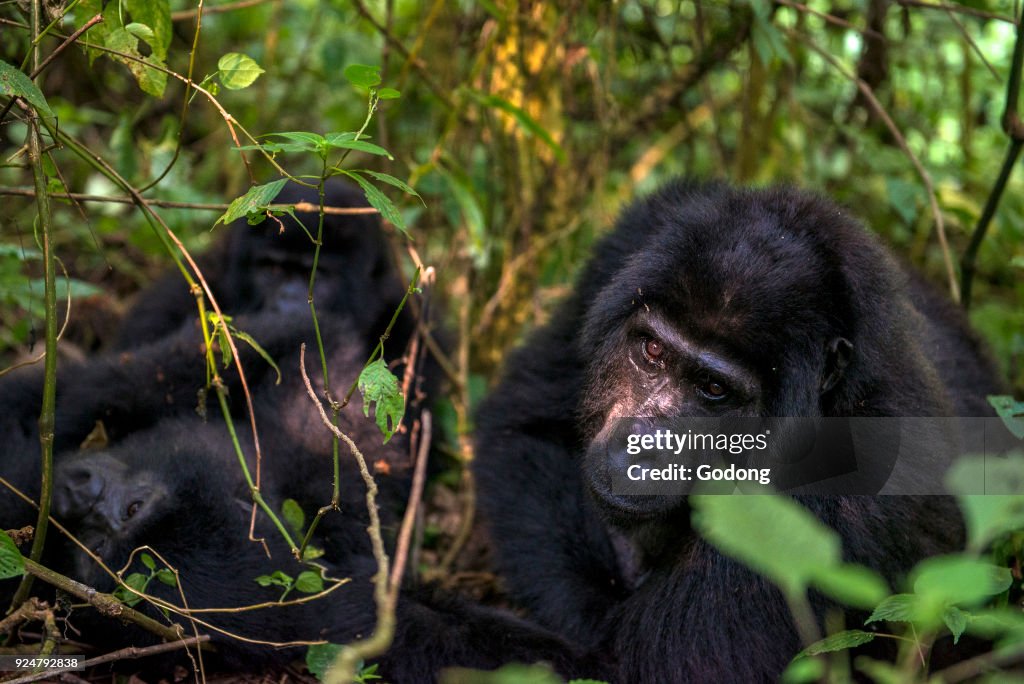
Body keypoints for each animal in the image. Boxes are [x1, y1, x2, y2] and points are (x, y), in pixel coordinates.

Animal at [473, 179, 1007, 679]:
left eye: (714, 389)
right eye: (651, 351)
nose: (640, 446)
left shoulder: (850, 501)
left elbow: (621, 670)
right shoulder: (629, 243)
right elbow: (529, 428)